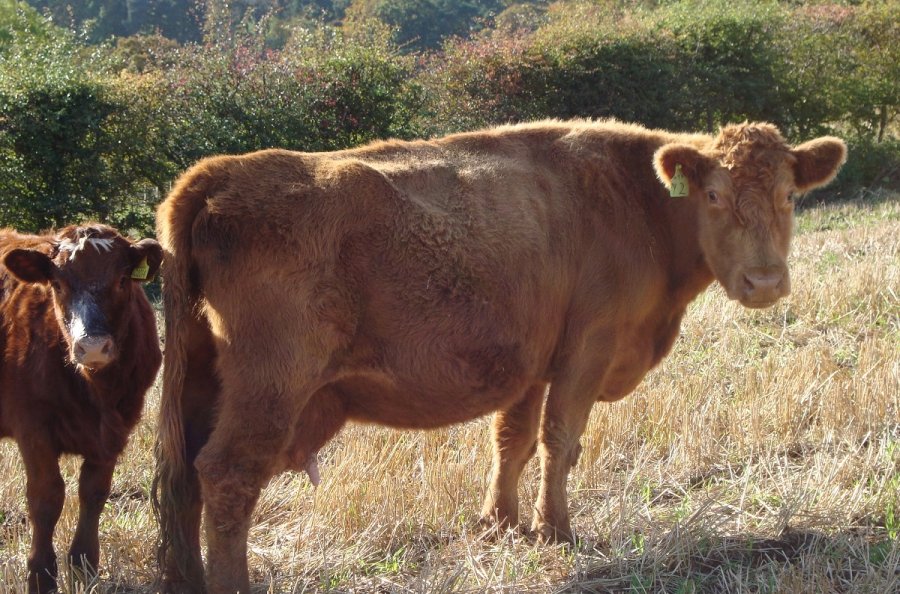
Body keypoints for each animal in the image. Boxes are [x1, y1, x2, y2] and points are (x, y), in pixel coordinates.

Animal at [0, 224, 163, 593]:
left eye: (122, 279)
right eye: (57, 284)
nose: (92, 346)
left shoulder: (118, 427)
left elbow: (94, 492)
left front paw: (83, 566)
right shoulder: (33, 428)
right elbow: (46, 497)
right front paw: (41, 575)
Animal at [152, 119, 846, 593]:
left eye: (789, 195)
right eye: (714, 196)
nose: (765, 281)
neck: (636, 201)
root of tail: (218, 175)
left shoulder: (531, 364)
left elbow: (513, 440)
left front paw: (500, 524)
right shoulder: (586, 351)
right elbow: (560, 439)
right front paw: (556, 530)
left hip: (200, 382)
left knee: (182, 478)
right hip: (270, 387)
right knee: (228, 474)